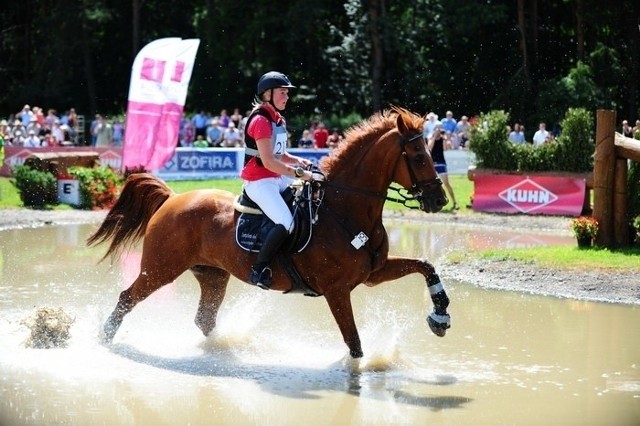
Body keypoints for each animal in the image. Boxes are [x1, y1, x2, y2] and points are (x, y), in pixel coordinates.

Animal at [89, 105, 450, 356]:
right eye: (419, 157)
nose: (440, 200)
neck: (346, 211)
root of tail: (173, 198)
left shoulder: (373, 273)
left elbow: (425, 266)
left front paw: (440, 316)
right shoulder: (337, 291)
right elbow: (354, 344)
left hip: (212, 274)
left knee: (204, 319)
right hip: (160, 269)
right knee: (127, 298)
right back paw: (103, 340)